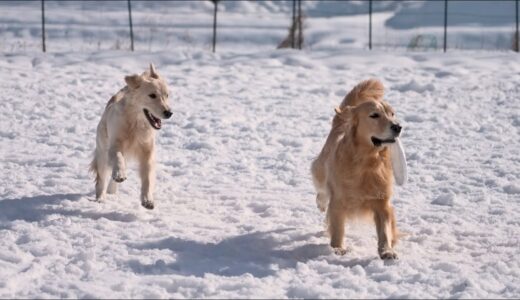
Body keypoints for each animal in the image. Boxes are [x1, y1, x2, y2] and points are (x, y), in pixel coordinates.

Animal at [89, 63, 171, 209]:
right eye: (152, 95)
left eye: (167, 95)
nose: (169, 113)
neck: (135, 123)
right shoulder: (115, 145)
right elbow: (118, 158)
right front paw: (120, 174)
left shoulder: (147, 152)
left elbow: (148, 178)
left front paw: (147, 200)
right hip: (102, 153)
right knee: (101, 179)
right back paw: (101, 198)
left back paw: (112, 190)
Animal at [310, 79, 404, 260]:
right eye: (374, 115)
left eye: (392, 114)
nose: (398, 127)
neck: (367, 162)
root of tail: (343, 118)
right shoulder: (338, 201)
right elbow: (338, 228)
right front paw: (338, 248)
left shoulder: (382, 202)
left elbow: (385, 229)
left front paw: (387, 250)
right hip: (321, 168)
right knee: (321, 189)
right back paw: (321, 202)